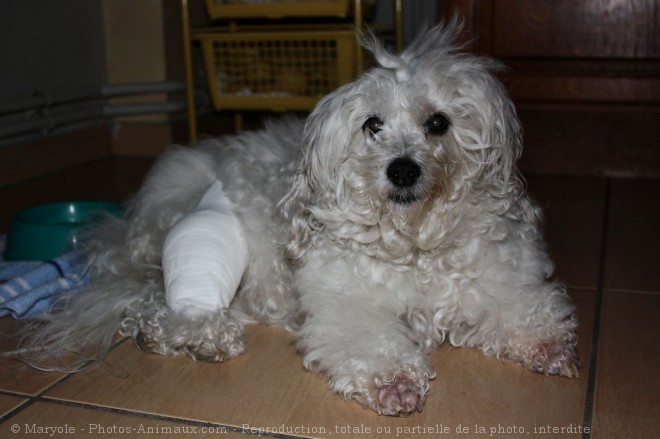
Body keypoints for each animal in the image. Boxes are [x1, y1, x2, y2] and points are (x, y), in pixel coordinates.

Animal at [18, 23, 580, 416]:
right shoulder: (348, 304)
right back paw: (199, 336)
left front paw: (549, 345)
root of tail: (128, 234)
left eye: (438, 123)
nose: (402, 169)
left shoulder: (500, 280)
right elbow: (372, 344)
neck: (413, 242)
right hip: (199, 253)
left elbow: (524, 312)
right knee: (158, 309)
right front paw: (394, 381)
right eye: (372, 125)